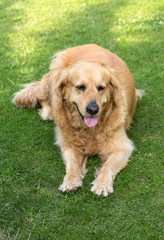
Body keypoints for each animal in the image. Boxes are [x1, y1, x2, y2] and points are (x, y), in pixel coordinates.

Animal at [13, 44, 144, 196]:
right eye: (80, 87)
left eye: (101, 88)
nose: (93, 109)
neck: (89, 130)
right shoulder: (68, 144)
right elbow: (72, 165)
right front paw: (70, 181)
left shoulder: (121, 148)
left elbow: (107, 166)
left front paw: (102, 184)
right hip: (53, 79)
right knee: (44, 97)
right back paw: (48, 111)